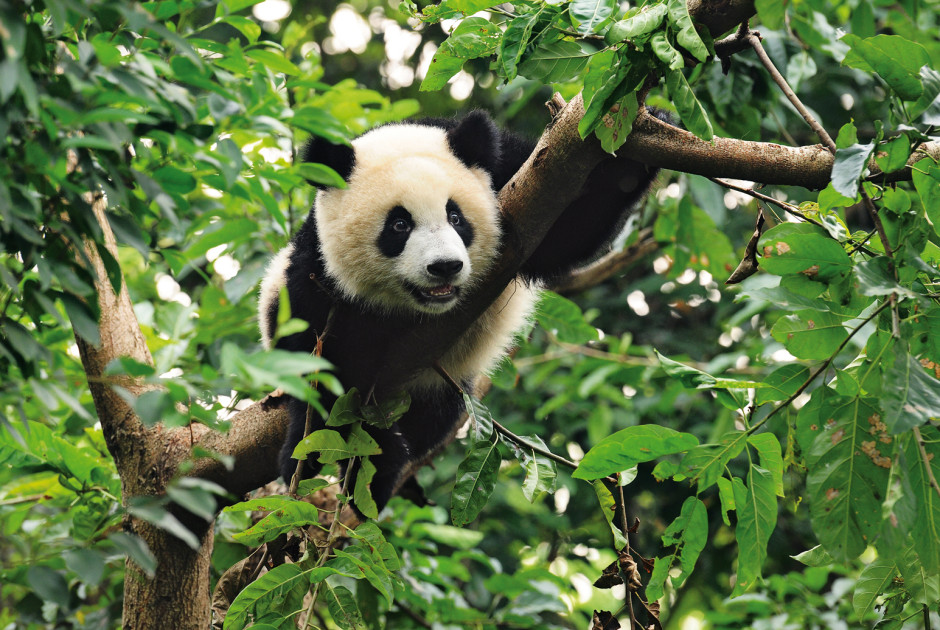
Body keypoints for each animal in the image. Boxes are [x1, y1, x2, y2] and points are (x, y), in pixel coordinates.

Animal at [258, 110, 660, 512]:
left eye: (455, 217)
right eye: (399, 225)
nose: (445, 266)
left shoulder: (513, 175)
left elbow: (567, 229)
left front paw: (637, 139)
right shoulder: (318, 270)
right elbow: (323, 363)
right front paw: (338, 454)